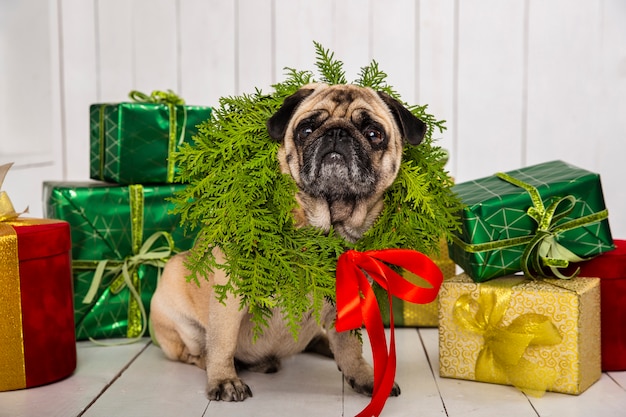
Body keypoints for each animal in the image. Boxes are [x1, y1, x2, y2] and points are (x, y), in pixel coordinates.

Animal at [150, 83, 424, 400]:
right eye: (306, 129)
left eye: (373, 134)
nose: (337, 133)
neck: (327, 223)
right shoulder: (230, 294)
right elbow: (222, 342)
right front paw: (223, 379)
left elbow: (350, 347)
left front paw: (365, 377)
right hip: (178, 304)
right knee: (194, 351)